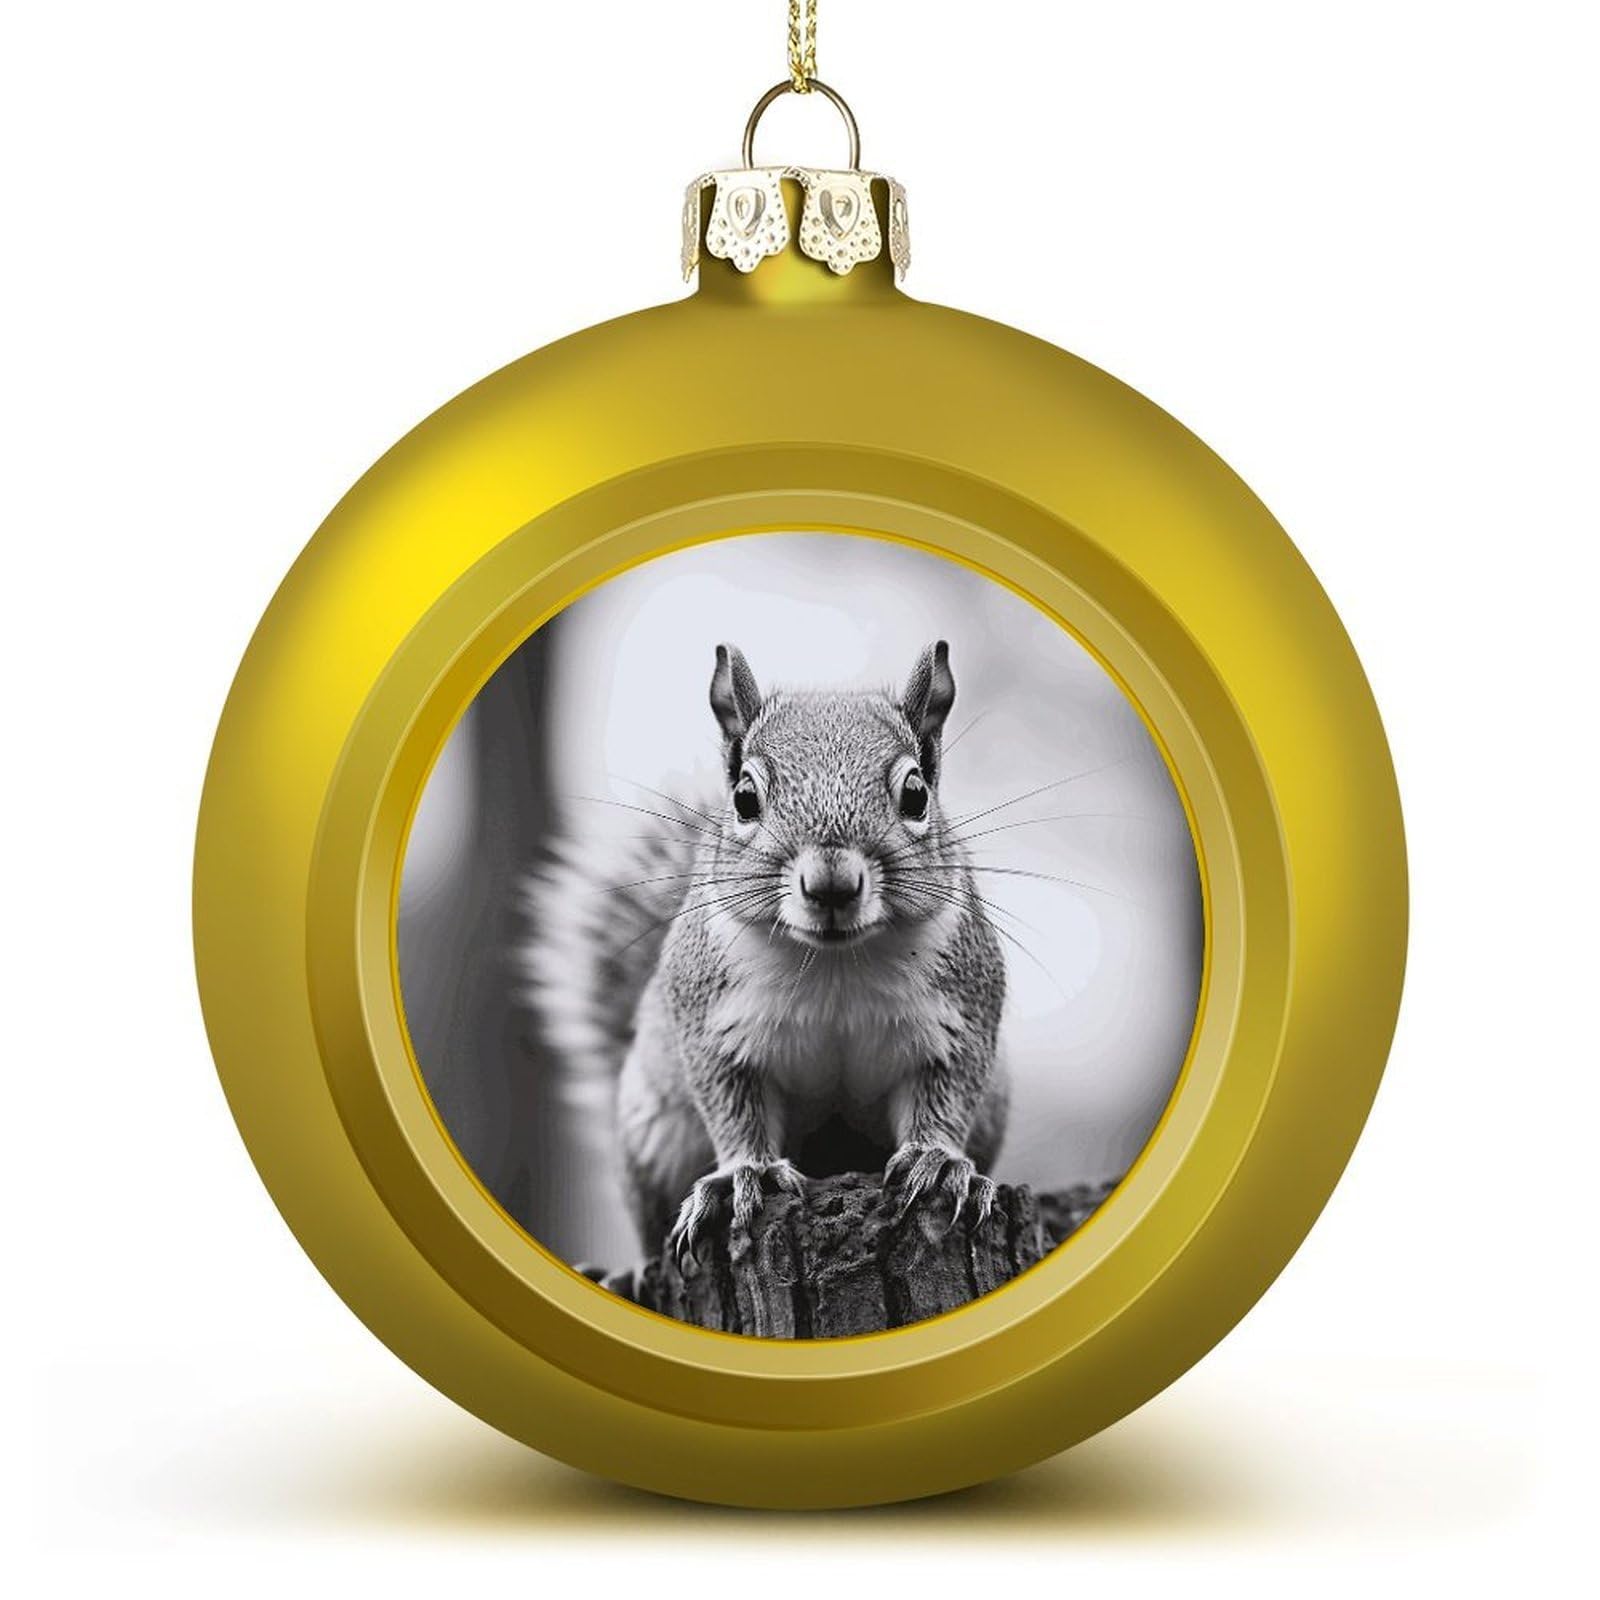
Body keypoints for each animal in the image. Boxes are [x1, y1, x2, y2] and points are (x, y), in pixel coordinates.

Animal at [524, 640, 1008, 1267]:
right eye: (745, 798)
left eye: (915, 794)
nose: (831, 884)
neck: (833, 964)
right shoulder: (711, 1026)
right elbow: (732, 1107)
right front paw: (743, 1176)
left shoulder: (961, 1017)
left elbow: (950, 1093)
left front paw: (940, 1163)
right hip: (654, 1131)